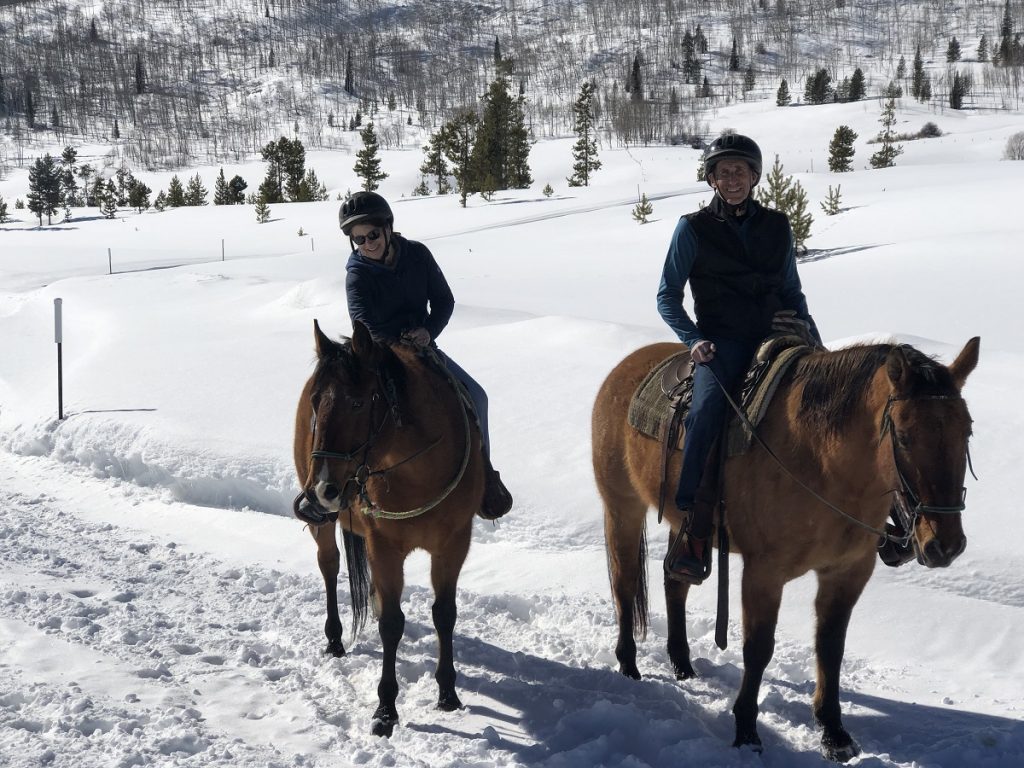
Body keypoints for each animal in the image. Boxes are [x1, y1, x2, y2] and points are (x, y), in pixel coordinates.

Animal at [292, 319, 483, 741]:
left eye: (358, 403)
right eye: (316, 402)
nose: (320, 492)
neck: (419, 470)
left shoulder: (454, 543)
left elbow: (445, 613)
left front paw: (448, 693)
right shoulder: (384, 547)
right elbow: (392, 623)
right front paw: (385, 710)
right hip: (324, 524)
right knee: (329, 565)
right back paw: (334, 639)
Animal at [593, 337, 974, 765]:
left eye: (967, 432)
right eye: (904, 436)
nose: (945, 545)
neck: (823, 463)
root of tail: (627, 364)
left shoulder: (848, 572)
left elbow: (830, 647)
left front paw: (834, 734)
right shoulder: (764, 573)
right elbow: (758, 649)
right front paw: (746, 731)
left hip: (685, 527)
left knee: (675, 581)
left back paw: (683, 665)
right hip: (621, 506)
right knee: (624, 583)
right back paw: (628, 665)